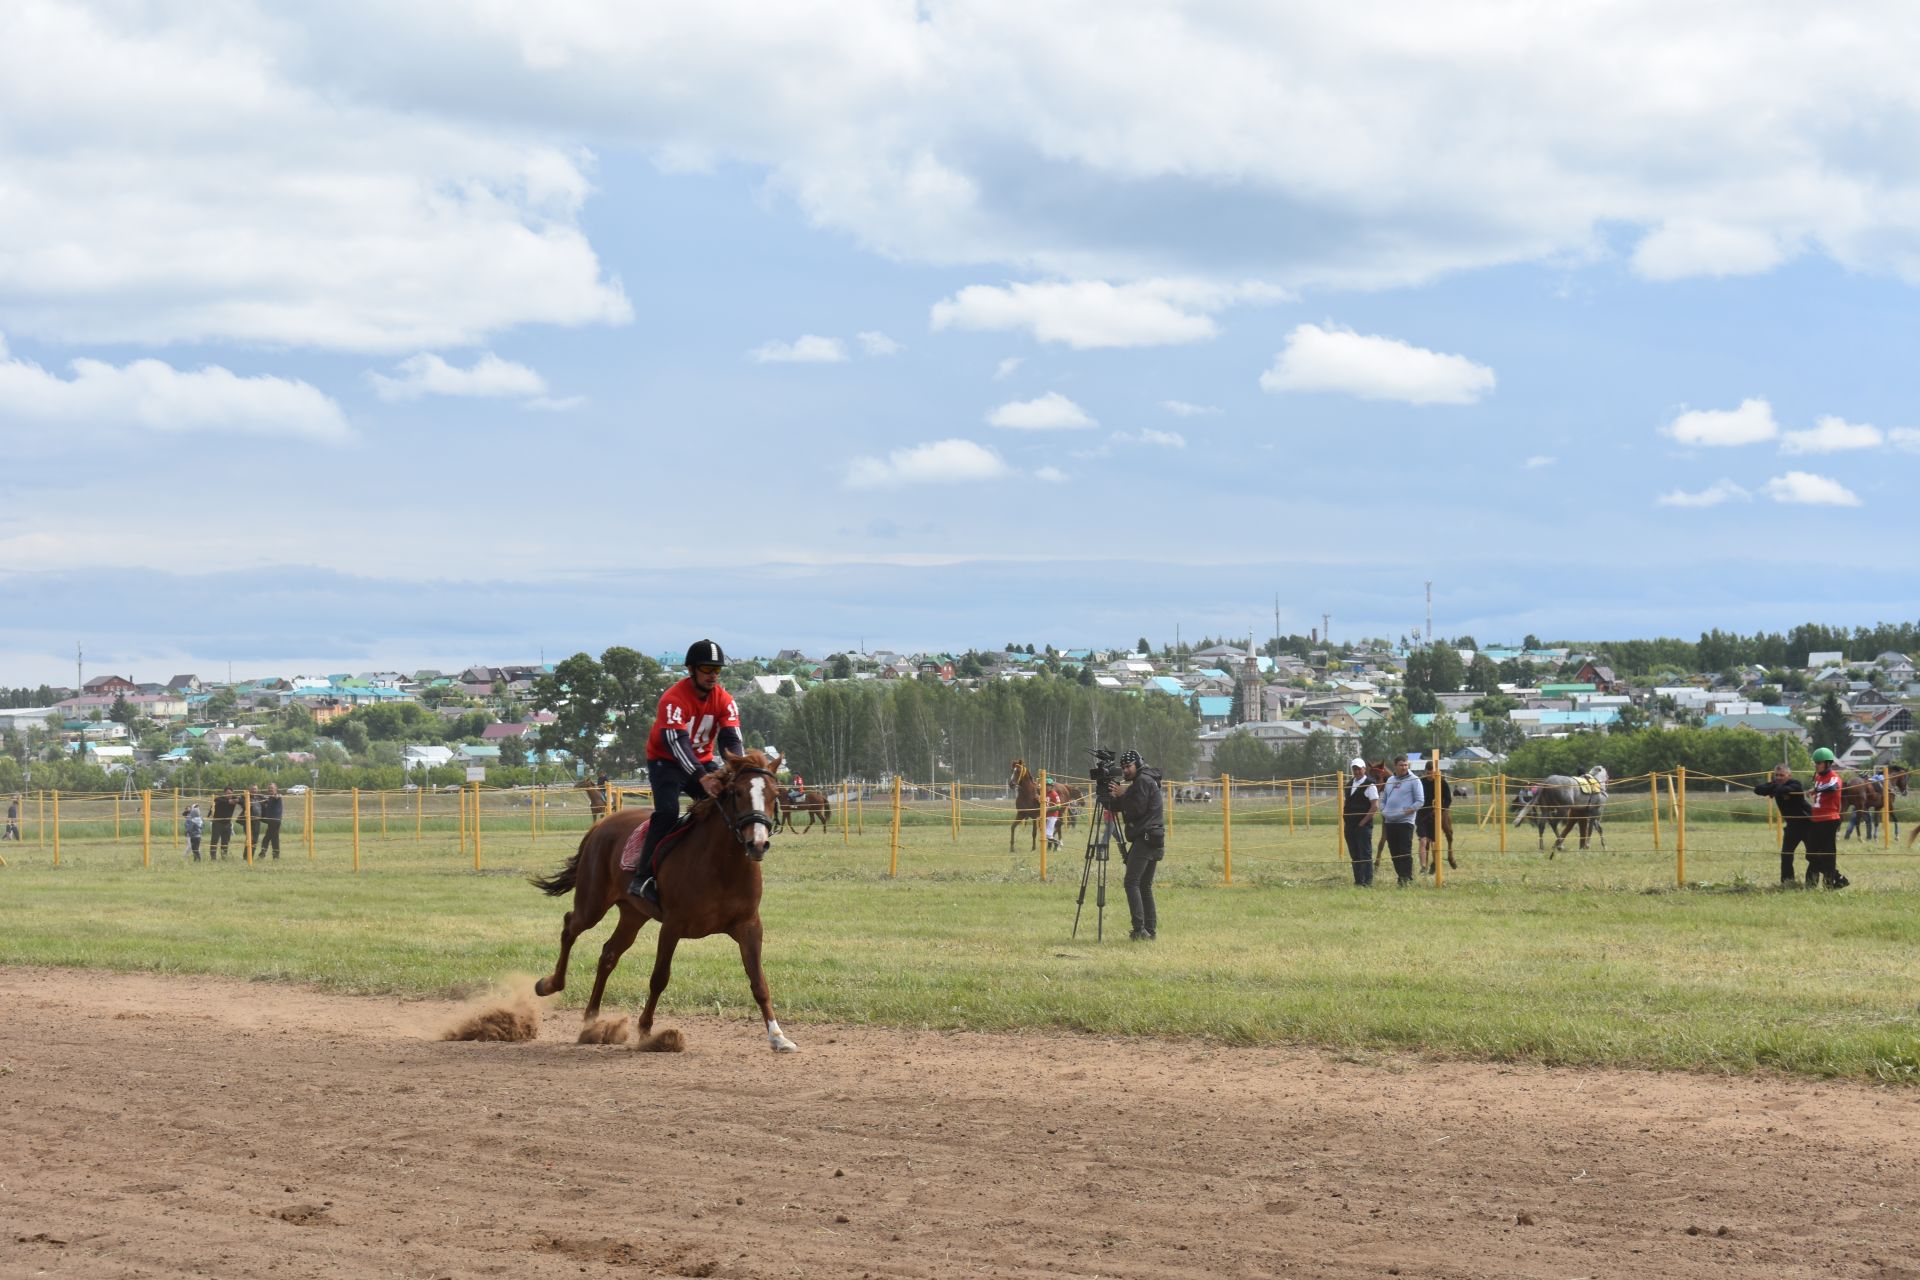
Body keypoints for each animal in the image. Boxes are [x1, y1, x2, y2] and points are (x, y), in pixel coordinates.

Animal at [526, 752, 794, 1051]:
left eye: (774, 793)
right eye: (737, 792)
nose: (757, 844)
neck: (722, 865)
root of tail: (600, 824)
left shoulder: (749, 927)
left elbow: (759, 982)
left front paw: (777, 1036)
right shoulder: (672, 926)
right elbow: (659, 978)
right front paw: (646, 1031)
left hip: (633, 914)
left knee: (608, 954)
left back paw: (592, 1020)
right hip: (592, 904)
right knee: (570, 926)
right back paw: (549, 985)